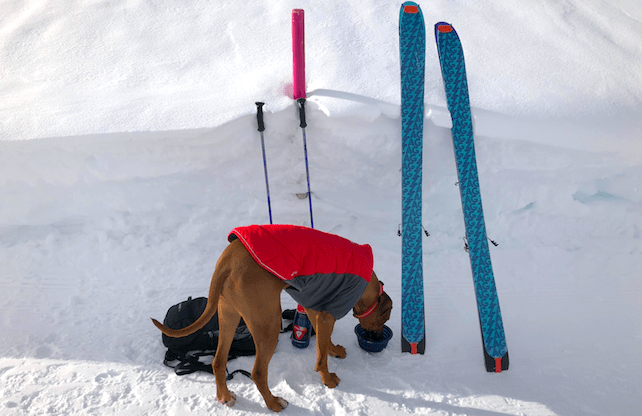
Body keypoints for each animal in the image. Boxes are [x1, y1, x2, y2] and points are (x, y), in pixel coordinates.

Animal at [151, 228, 390, 412]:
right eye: (385, 317)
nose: (378, 336)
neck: (368, 284)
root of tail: (227, 262)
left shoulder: (315, 307)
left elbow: (323, 340)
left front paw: (333, 350)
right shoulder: (327, 314)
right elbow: (321, 357)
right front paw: (328, 379)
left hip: (228, 315)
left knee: (218, 361)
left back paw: (225, 396)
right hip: (269, 324)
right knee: (257, 372)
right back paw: (273, 402)